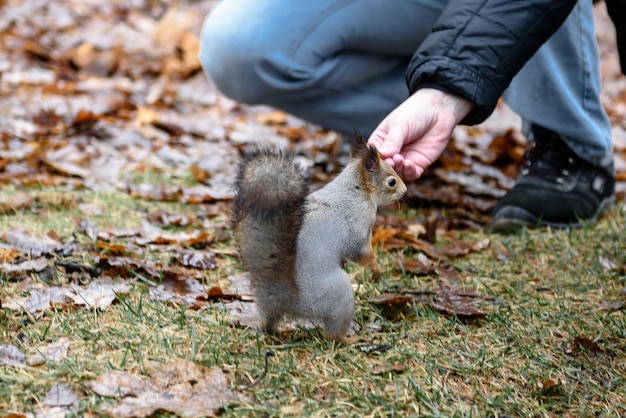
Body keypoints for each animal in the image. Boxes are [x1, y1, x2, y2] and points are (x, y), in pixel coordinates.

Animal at [230, 133, 404, 340]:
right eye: (391, 182)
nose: (405, 190)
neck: (356, 189)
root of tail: (289, 299)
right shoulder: (358, 221)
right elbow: (359, 251)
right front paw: (375, 268)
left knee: (269, 322)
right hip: (339, 295)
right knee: (332, 335)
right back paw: (350, 339)